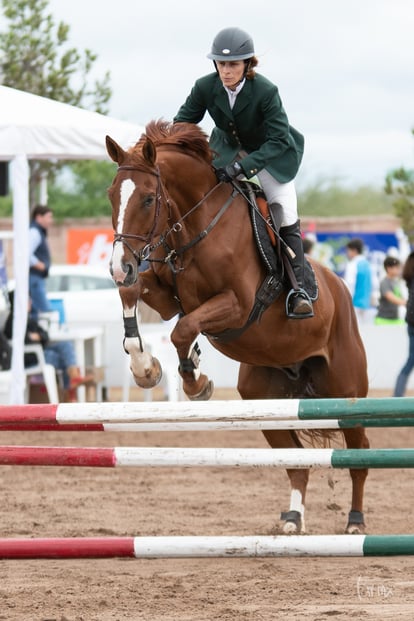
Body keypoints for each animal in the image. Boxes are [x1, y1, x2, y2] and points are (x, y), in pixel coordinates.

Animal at [106, 120, 368, 532]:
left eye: (148, 199)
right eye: (111, 196)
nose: (119, 266)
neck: (195, 227)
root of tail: (340, 288)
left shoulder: (239, 306)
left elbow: (183, 330)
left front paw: (195, 381)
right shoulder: (166, 298)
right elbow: (136, 294)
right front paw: (146, 368)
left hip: (346, 390)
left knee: (359, 455)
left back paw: (355, 522)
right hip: (264, 400)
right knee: (295, 462)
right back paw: (293, 519)